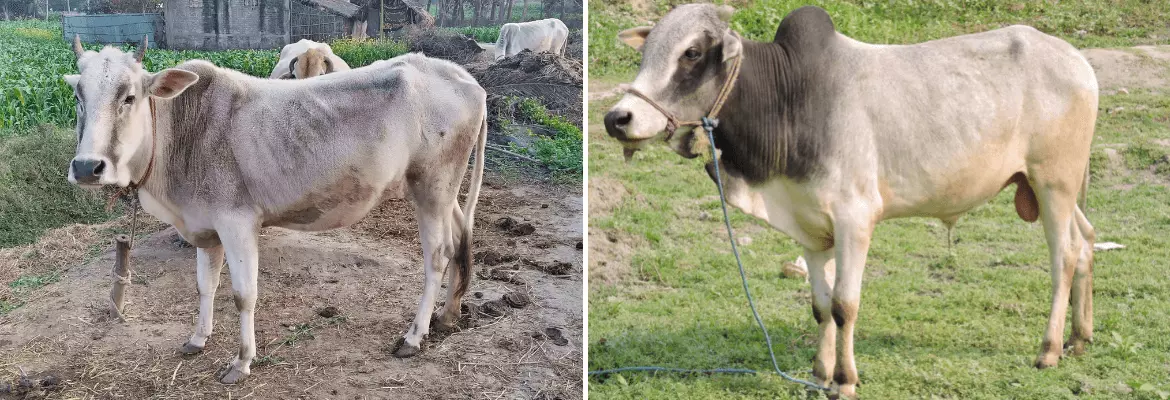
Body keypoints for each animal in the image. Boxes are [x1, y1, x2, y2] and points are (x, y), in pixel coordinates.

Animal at [64, 36, 488, 384]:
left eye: (129, 96)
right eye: (78, 98)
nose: (87, 167)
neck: (183, 134)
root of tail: (466, 79)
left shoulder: (237, 223)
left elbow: (243, 295)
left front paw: (241, 362)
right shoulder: (205, 228)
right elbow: (205, 285)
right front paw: (198, 338)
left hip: (431, 187)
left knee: (437, 256)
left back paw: (414, 336)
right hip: (442, 194)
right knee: (459, 241)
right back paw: (448, 314)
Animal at [603, 5, 1097, 398]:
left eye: (691, 53)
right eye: (647, 53)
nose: (617, 118)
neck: (789, 98)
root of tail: (1077, 60)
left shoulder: (854, 219)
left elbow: (844, 305)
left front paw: (844, 380)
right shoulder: (808, 226)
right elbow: (820, 306)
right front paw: (819, 375)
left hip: (1053, 182)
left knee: (1064, 255)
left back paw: (1050, 350)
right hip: (1052, 187)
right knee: (1087, 241)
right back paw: (1080, 338)